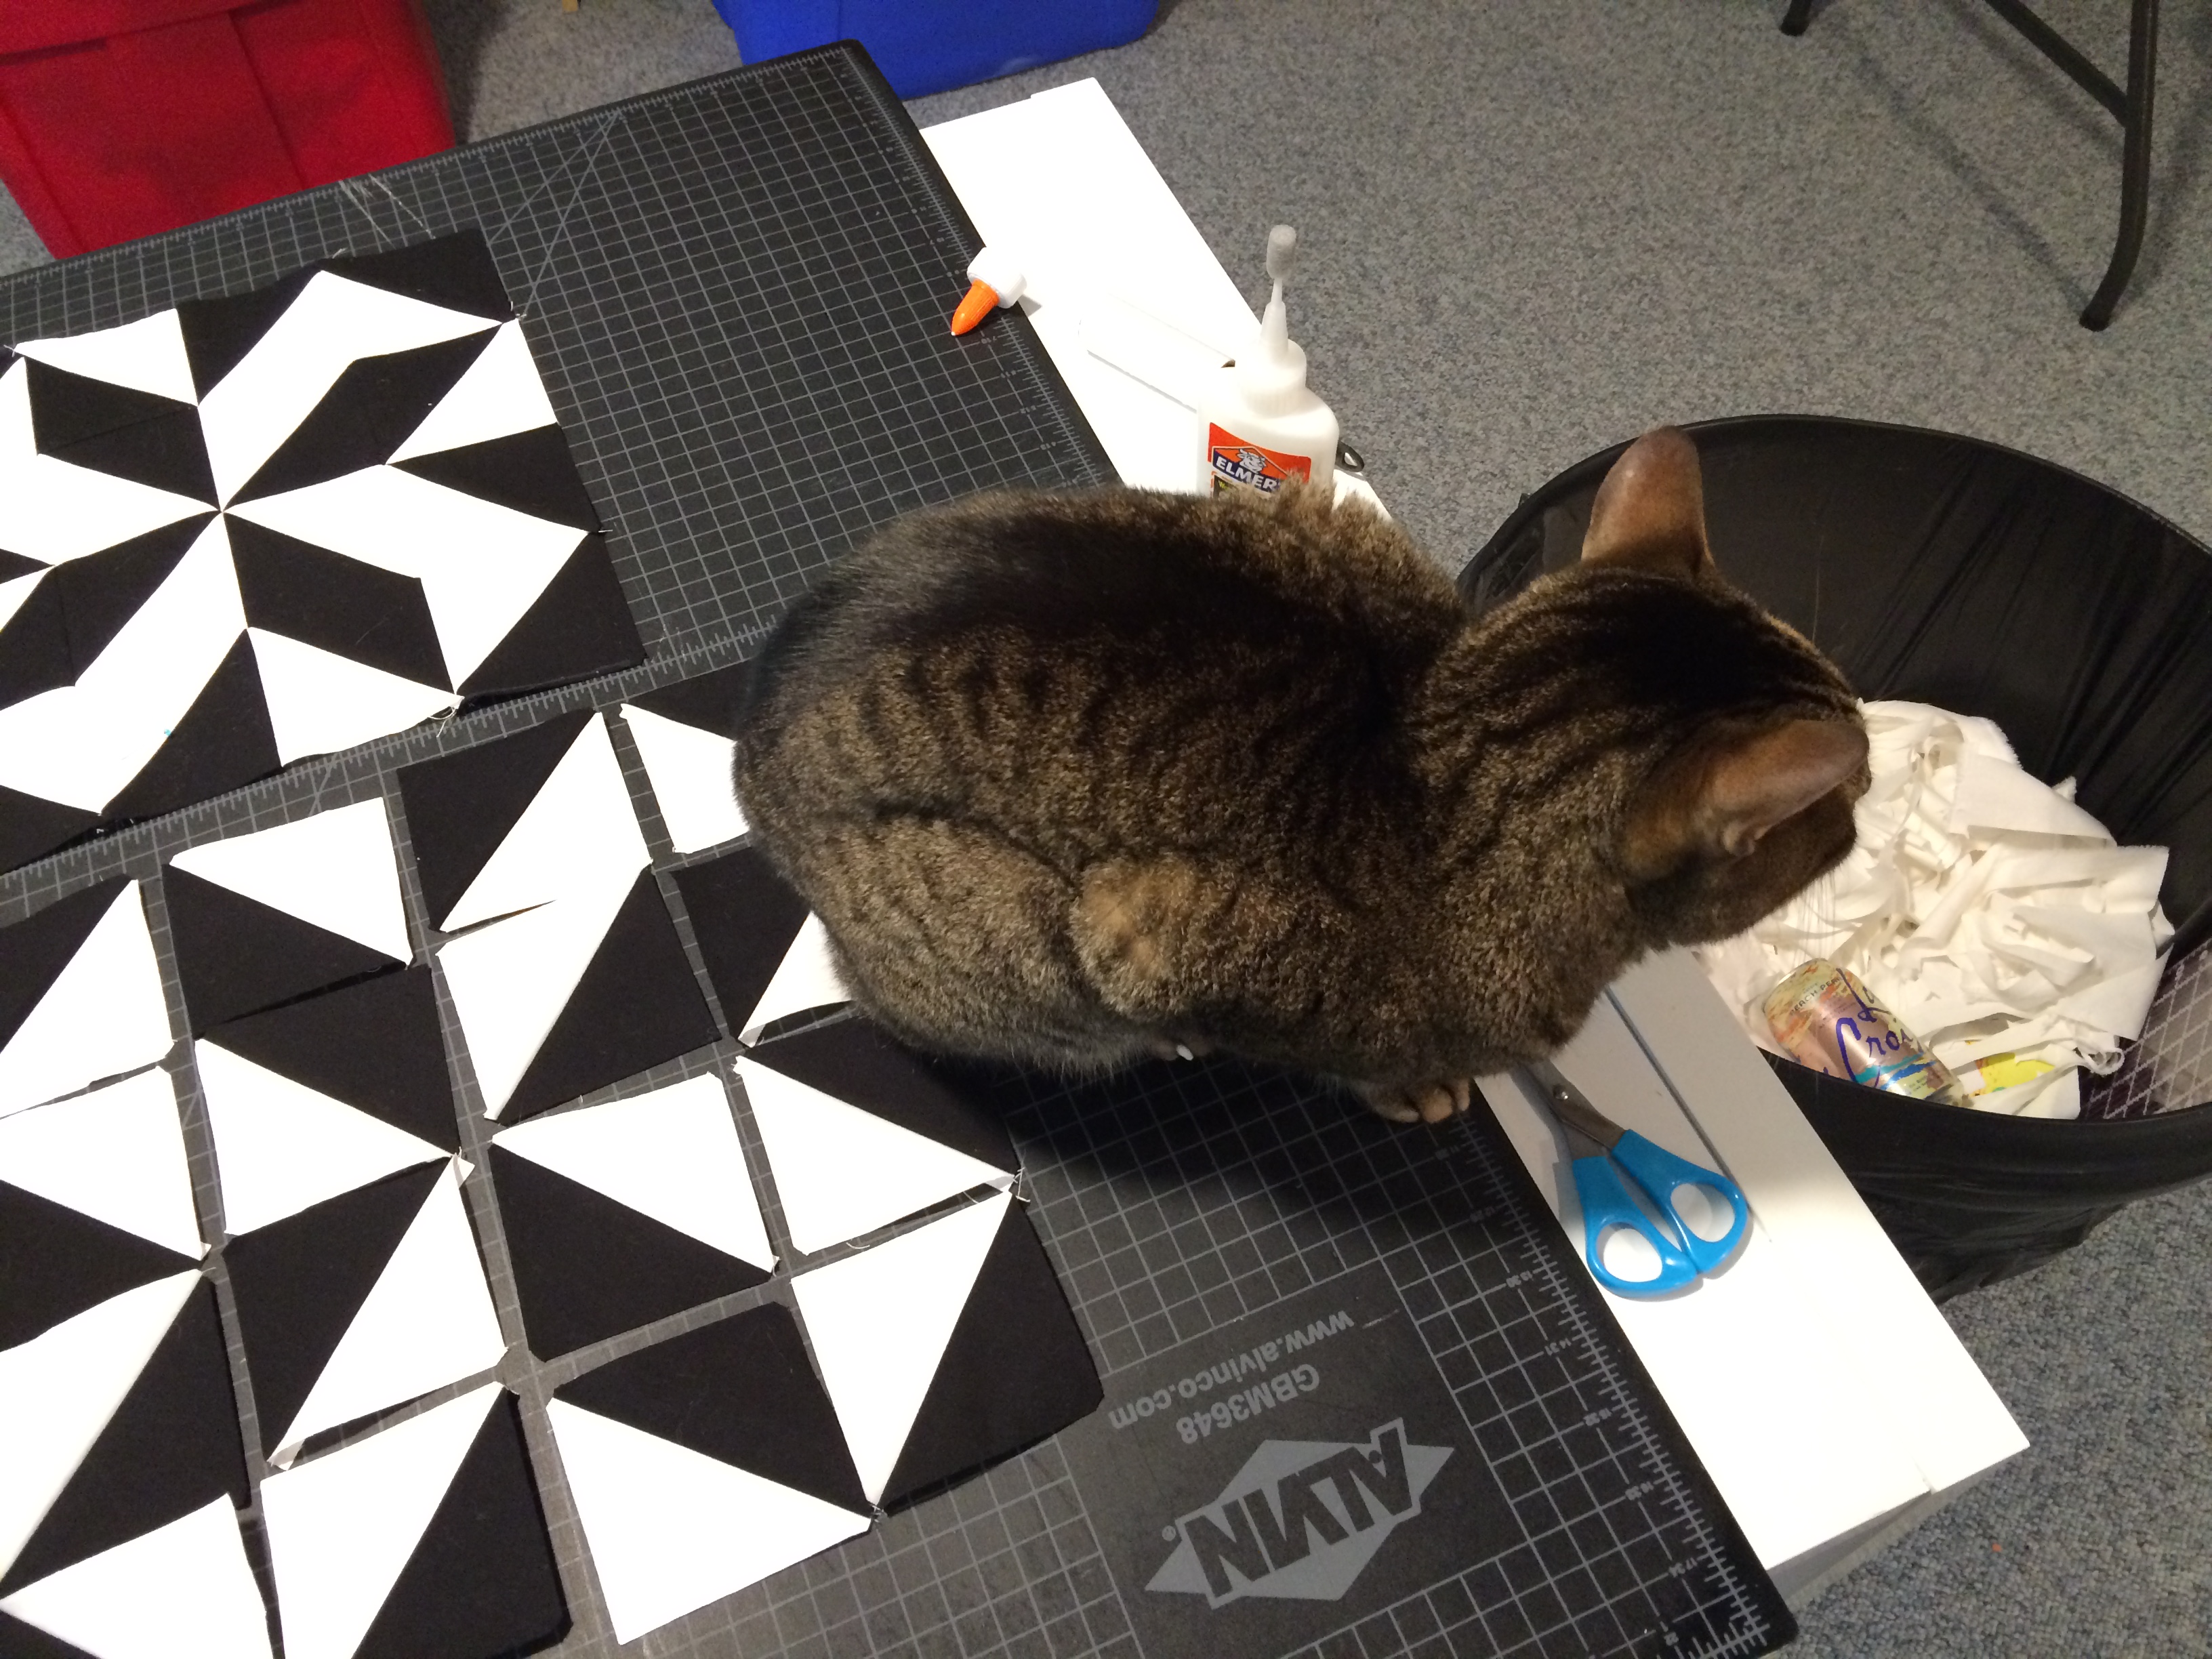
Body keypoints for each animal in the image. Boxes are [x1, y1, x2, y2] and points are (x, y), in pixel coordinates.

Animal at [731, 427, 1869, 1124]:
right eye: (1840, 803)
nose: (1861, 811)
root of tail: (749, 746)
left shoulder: (1335, 512)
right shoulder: (1142, 935)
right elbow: (1321, 1050)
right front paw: (1410, 1085)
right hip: (1018, 947)